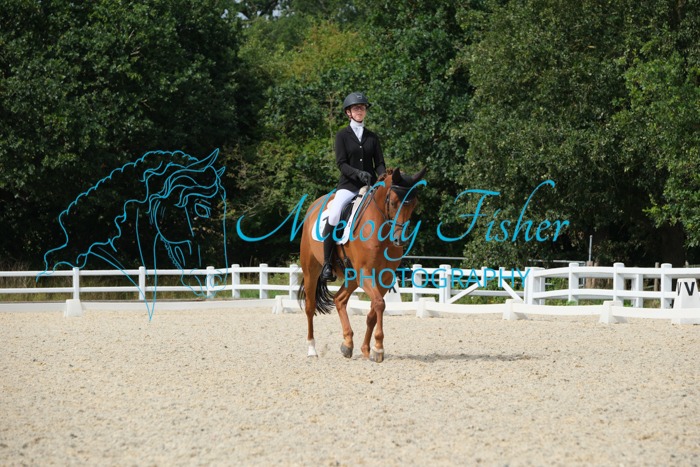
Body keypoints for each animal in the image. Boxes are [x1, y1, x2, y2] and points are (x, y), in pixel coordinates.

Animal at [298, 167, 426, 363]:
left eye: (414, 204)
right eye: (393, 202)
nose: (400, 240)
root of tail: (314, 206)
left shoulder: (385, 277)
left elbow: (374, 310)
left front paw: (367, 349)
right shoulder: (365, 273)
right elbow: (379, 304)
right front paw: (379, 348)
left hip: (351, 276)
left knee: (339, 299)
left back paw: (347, 344)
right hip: (311, 270)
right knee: (310, 307)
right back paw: (312, 349)